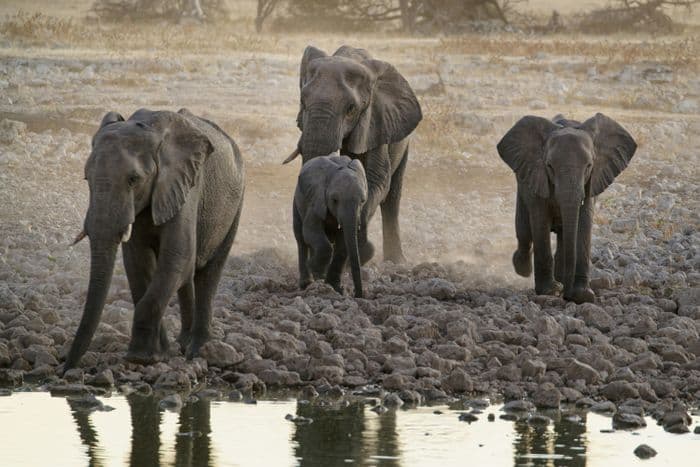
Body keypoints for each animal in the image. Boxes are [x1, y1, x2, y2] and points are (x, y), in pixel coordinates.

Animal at [64, 108, 245, 370]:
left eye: (133, 179)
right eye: (87, 178)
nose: (65, 368)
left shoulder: (185, 185)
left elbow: (177, 256)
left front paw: (140, 357)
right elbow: (138, 263)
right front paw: (158, 355)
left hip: (235, 204)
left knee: (207, 274)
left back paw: (197, 350)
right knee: (188, 276)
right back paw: (183, 344)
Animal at [283, 45, 422, 265]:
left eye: (351, 109)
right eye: (302, 102)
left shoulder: (376, 120)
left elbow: (377, 179)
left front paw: (358, 256)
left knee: (392, 196)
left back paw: (395, 262)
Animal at [293, 153, 368, 298]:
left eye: (362, 201)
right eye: (335, 200)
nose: (356, 294)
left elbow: (343, 245)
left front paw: (336, 288)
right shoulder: (316, 200)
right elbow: (310, 230)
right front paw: (319, 275)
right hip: (297, 201)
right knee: (301, 239)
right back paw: (307, 283)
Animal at [497, 113, 637, 304]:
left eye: (589, 166)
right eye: (549, 166)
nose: (567, 296)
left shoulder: (591, 182)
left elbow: (584, 223)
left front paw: (583, 295)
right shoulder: (537, 177)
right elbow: (540, 222)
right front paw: (550, 291)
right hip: (522, 182)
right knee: (524, 231)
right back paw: (524, 269)